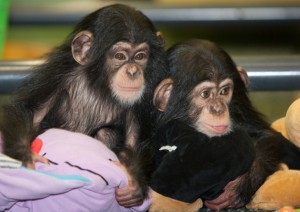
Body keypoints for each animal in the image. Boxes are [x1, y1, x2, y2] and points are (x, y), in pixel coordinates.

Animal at [0, 3, 166, 207]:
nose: (133, 71)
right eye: (120, 56)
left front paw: (134, 182)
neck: (99, 84)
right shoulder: (57, 74)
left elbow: (134, 141)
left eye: (140, 56)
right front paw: (26, 156)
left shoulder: (147, 93)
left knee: (106, 132)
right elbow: (31, 112)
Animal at [150, 39, 300, 210]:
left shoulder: (239, 108)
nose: (218, 109)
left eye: (224, 91)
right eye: (205, 94)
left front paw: (241, 184)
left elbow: (267, 136)